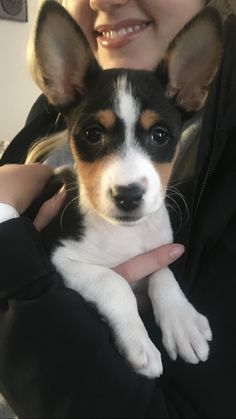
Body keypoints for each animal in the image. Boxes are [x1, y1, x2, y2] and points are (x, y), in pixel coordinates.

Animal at [33, 0, 223, 380]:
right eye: (92, 134)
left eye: (160, 136)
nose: (129, 195)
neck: (126, 235)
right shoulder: (59, 256)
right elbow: (114, 283)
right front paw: (139, 344)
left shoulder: (160, 248)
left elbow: (162, 273)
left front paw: (181, 321)